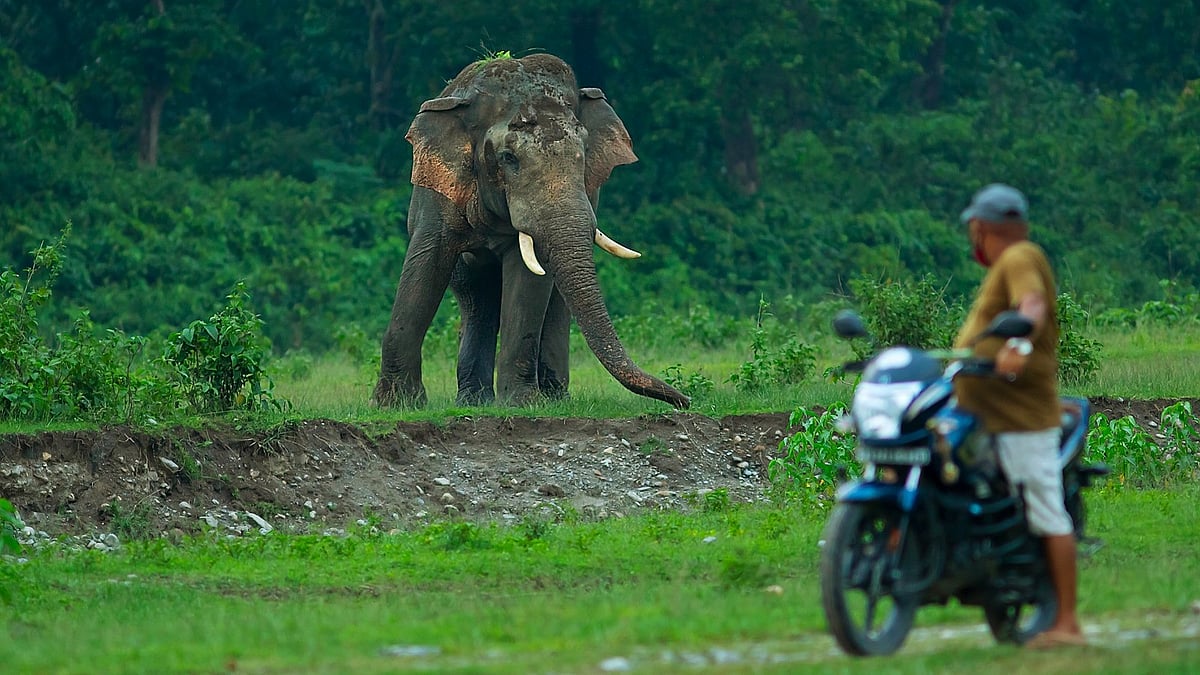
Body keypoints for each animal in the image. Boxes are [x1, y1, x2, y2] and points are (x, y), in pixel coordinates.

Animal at [373, 54, 690, 410]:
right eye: (509, 157)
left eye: (583, 155)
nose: (684, 400)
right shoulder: (438, 191)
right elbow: (425, 263)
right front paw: (395, 405)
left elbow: (528, 281)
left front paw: (522, 404)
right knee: (476, 299)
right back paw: (474, 402)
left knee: (552, 302)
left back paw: (552, 397)